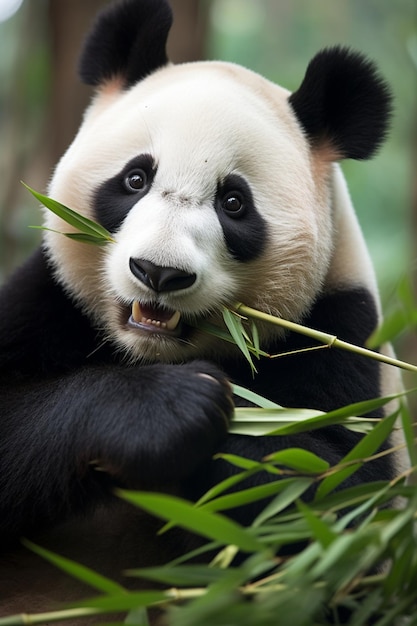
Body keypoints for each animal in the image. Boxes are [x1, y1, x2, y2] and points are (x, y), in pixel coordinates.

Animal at [0, 0, 404, 616]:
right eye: (136, 178)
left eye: (233, 202)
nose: (158, 272)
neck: (148, 354)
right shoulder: (48, 299)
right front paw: (164, 410)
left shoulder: (341, 332)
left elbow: (333, 499)